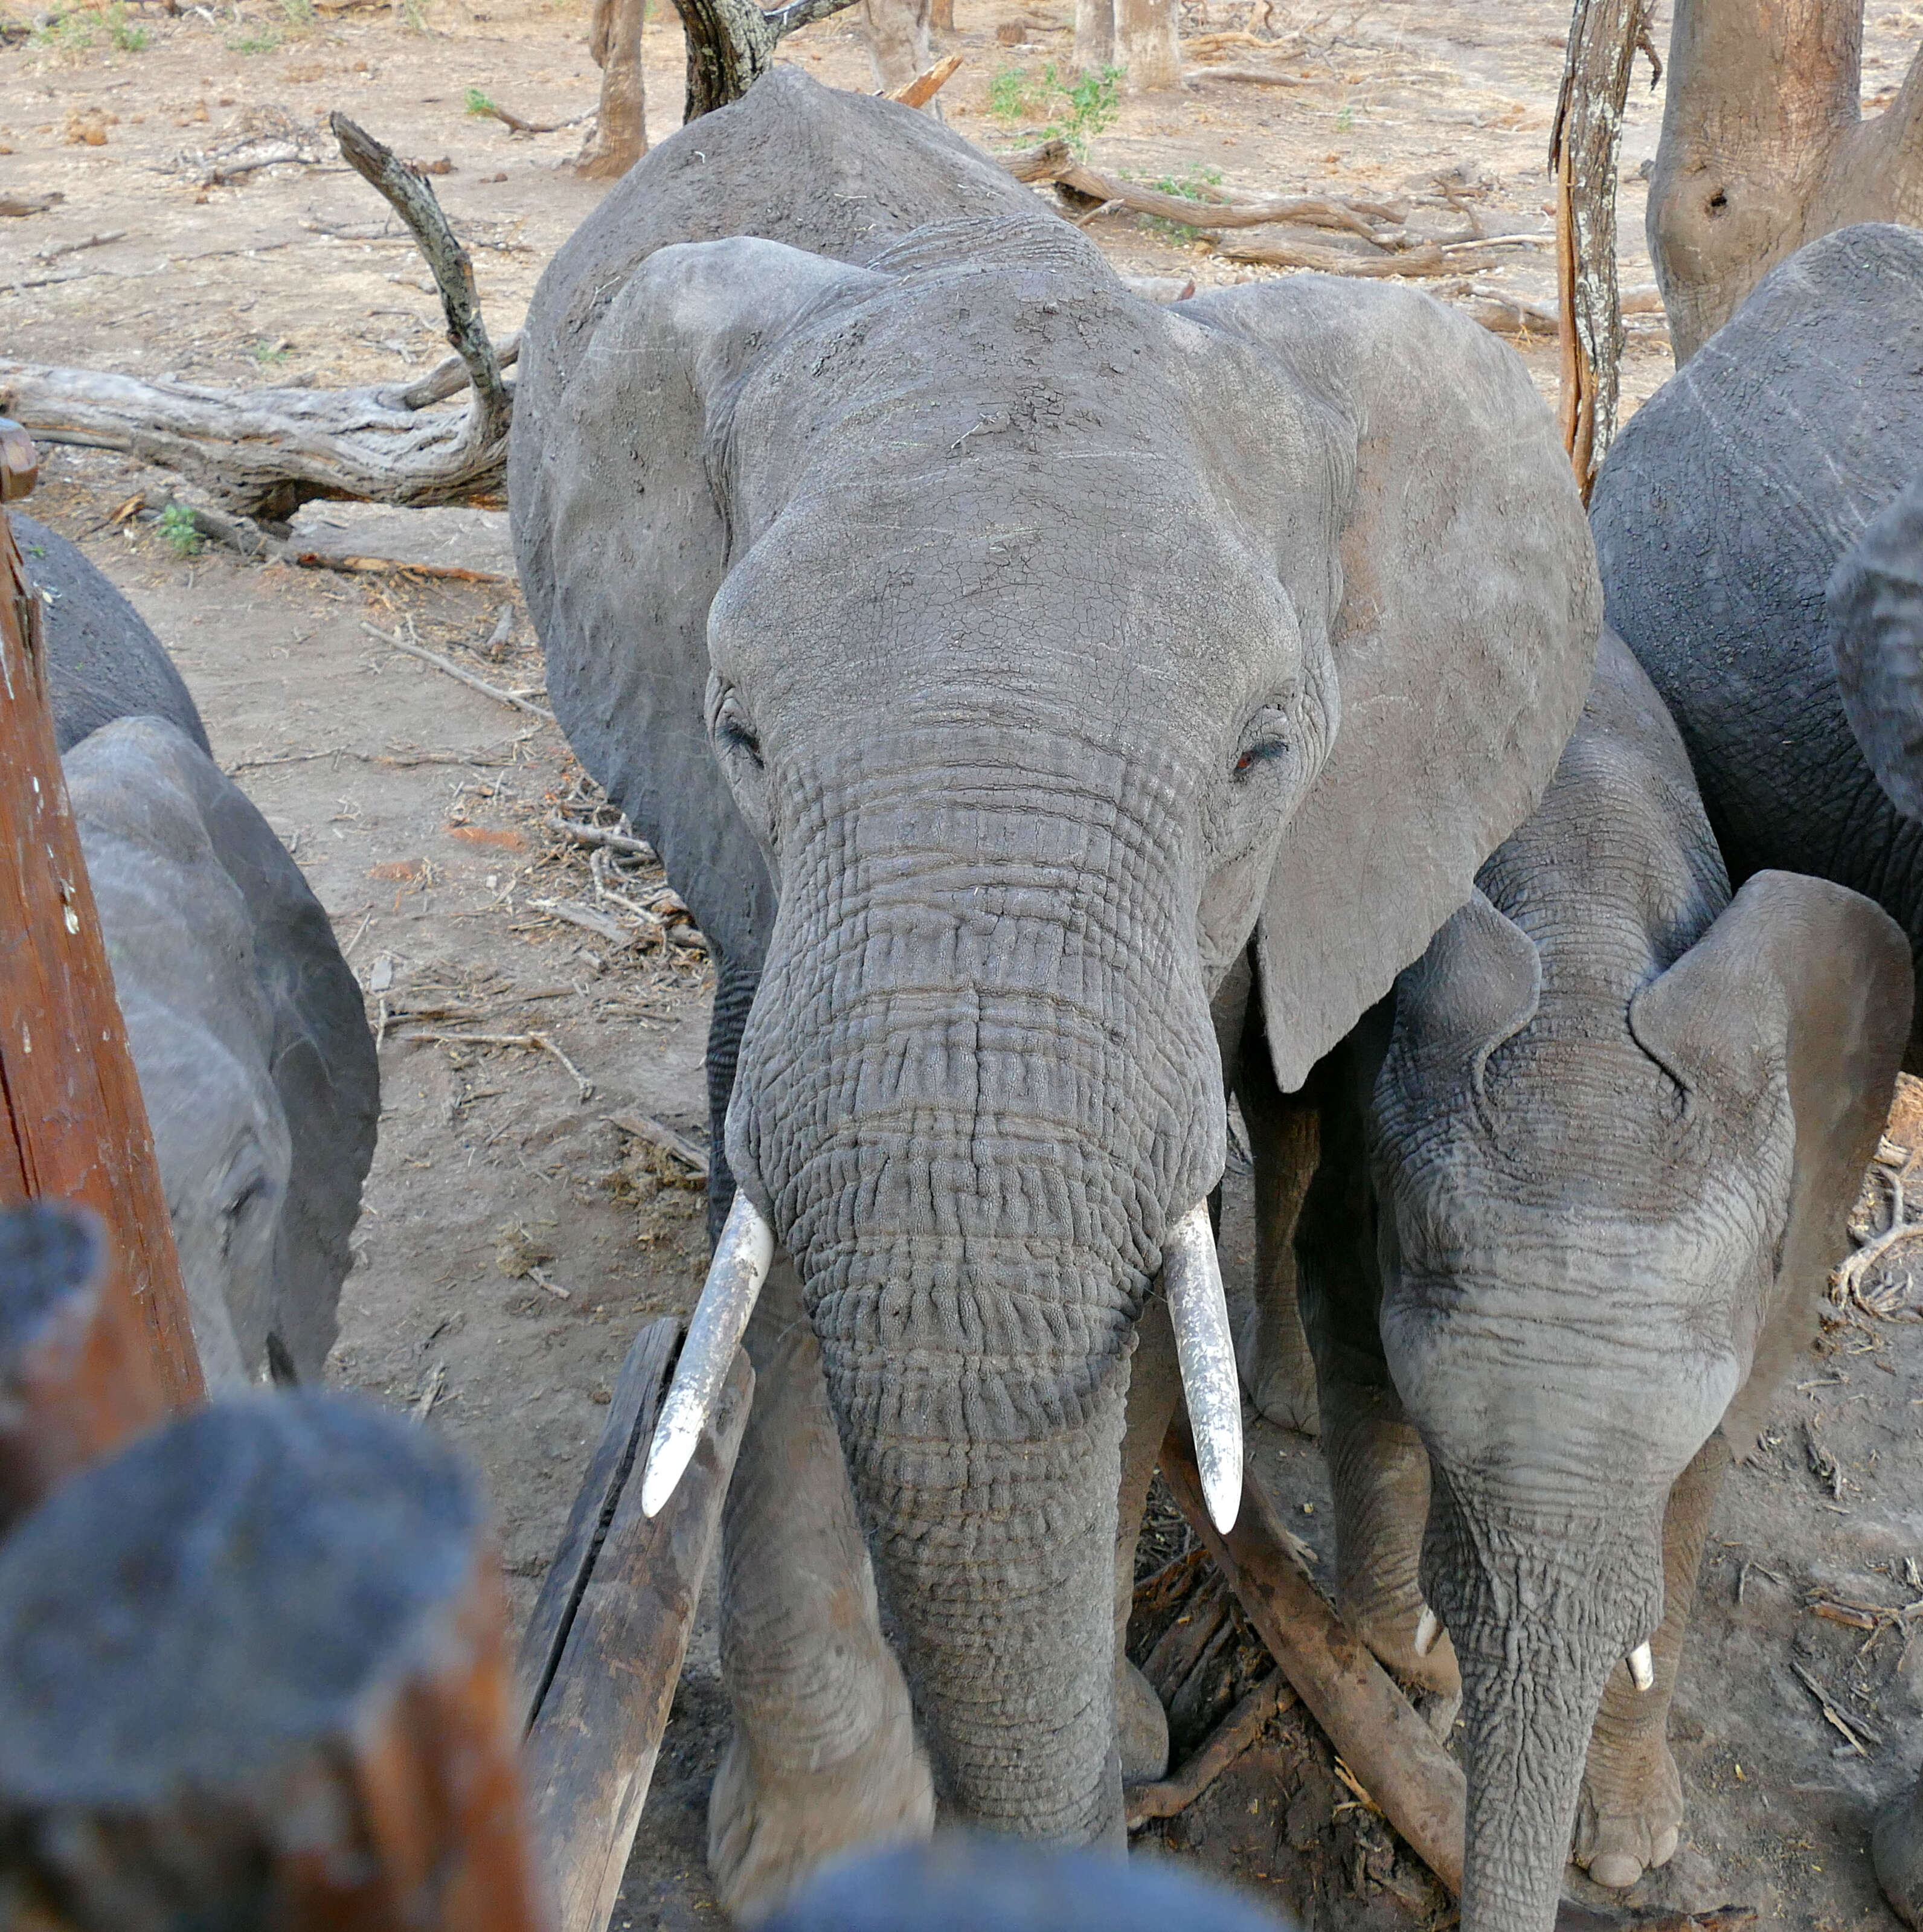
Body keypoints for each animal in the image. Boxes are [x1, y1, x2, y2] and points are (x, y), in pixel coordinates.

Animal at [502, 68, 1600, 1924]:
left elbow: (1156, 1306)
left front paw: (1126, 1734)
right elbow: (771, 1287)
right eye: (737, 731)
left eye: (1262, 754)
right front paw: (824, 1853)